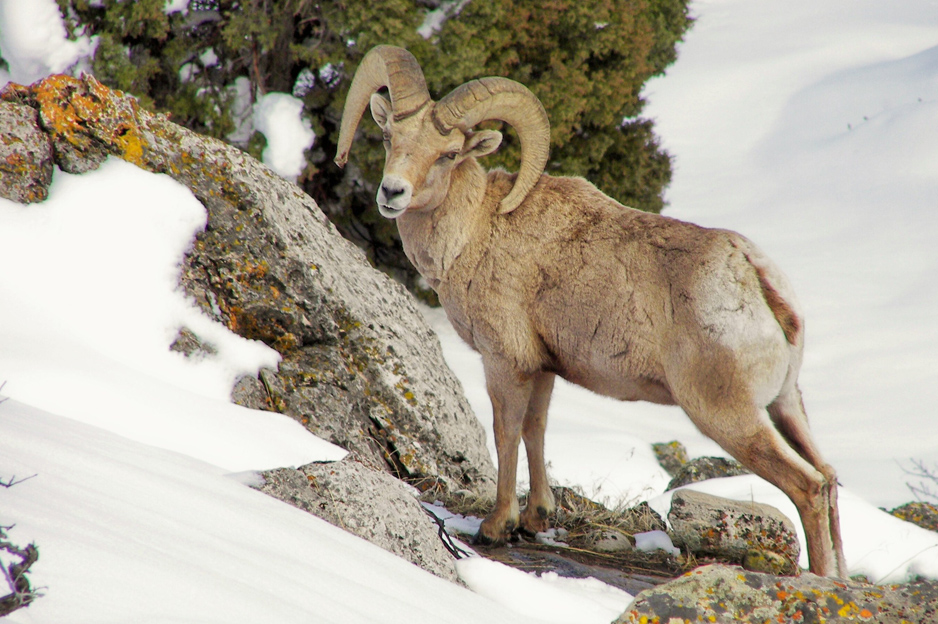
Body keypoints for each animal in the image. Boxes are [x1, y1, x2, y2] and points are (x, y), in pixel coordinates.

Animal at [334, 45, 847, 578]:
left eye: (449, 154)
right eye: (390, 136)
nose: (392, 193)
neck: (475, 230)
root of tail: (754, 278)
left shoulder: (505, 362)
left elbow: (506, 434)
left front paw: (497, 527)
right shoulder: (542, 368)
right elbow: (535, 431)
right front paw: (536, 520)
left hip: (729, 417)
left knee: (807, 487)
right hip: (786, 405)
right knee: (828, 478)